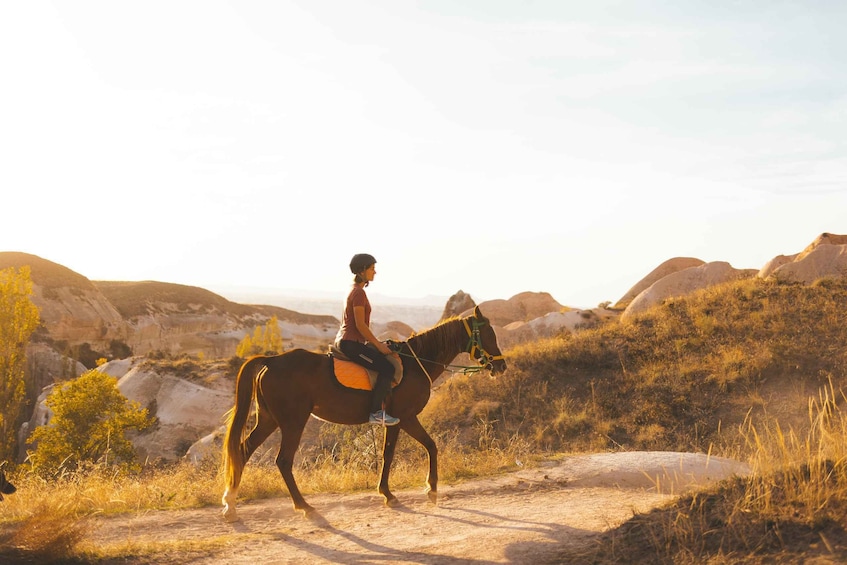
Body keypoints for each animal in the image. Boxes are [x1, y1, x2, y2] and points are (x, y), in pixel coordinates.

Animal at [222, 306, 506, 516]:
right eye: (489, 334)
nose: (501, 366)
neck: (416, 363)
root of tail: (270, 361)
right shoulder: (406, 418)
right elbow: (428, 446)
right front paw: (430, 489)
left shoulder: (395, 421)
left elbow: (389, 454)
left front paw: (388, 493)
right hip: (293, 422)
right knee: (282, 461)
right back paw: (303, 506)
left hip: (269, 419)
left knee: (243, 451)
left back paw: (230, 504)